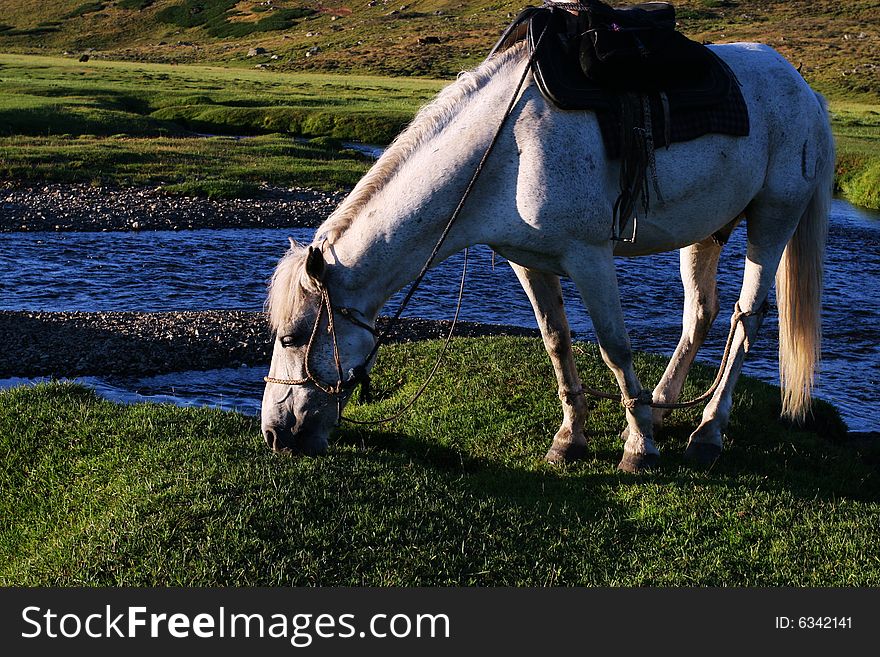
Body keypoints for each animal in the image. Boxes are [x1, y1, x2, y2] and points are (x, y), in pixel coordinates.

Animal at [260, 41, 832, 468]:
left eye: (291, 338)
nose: (275, 433)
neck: (506, 150)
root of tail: (806, 90)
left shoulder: (590, 257)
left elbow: (615, 347)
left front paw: (638, 448)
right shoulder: (528, 260)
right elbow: (556, 341)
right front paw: (570, 439)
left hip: (773, 216)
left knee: (747, 315)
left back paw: (708, 432)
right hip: (707, 230)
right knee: (701, 312)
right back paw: (663, 407)